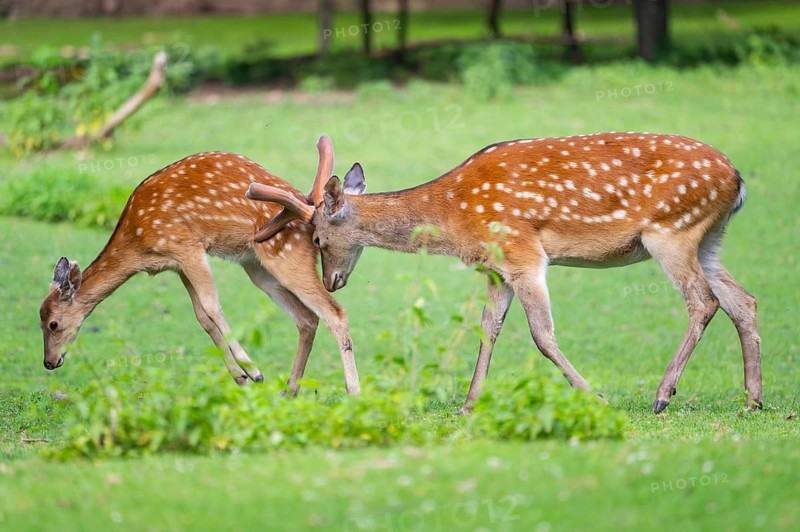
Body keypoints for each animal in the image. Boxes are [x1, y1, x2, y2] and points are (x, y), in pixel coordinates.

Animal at [38, 147, 360, 397]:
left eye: (53, 324)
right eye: (39, 321)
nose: (49, 362)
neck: (139, 244)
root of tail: (313, 214)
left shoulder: (185, 245)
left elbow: (211, 306)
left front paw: (253, 370)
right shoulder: (178, 264)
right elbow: (202, 318)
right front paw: (240, 377)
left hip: (286, 253)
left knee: (334, 312)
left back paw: (352, 391)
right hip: (257, 267)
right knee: (307, 319)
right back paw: (290, 391)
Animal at [246, 133, 762, 414]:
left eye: (316, 238)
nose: (332, 281)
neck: (454, 217)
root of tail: (737, 180)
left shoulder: (523, 252)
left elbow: (541, 334)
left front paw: (592, 396)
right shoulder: (496, 269)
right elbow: (489, 327)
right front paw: (468, 403)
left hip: (672, 231)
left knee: (703, 300)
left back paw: (663, 395)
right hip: (707, 238)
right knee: (743, 300)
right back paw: (753, 398)